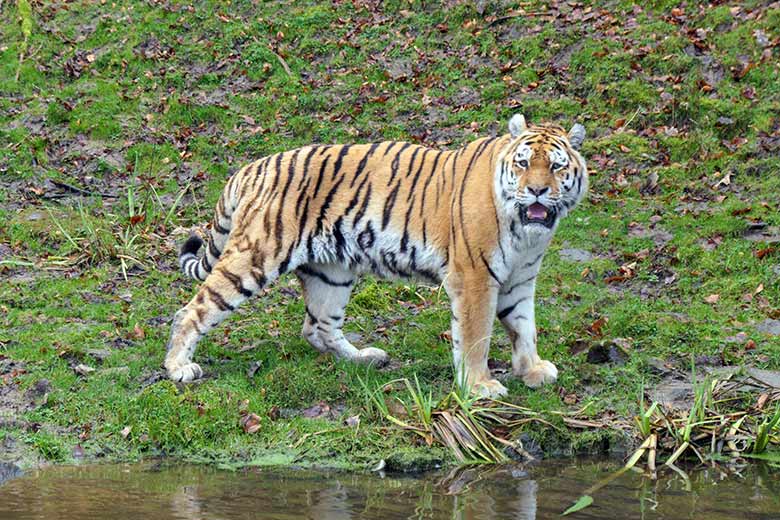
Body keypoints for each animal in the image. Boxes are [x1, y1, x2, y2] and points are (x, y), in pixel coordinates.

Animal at [168, 115, 588, 398]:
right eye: (523, 163)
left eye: (556, 166)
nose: (536, 190)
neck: (526, 234)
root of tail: (252, 167)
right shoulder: (475, 278)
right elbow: (475, 337)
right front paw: (480, 385)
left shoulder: (519, 280)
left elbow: (524, 327)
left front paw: (532, 370)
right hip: (256, 256)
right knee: (191, 310)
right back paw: (178, 368)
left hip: (333, 272)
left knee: (317, 327)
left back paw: (364, 358)